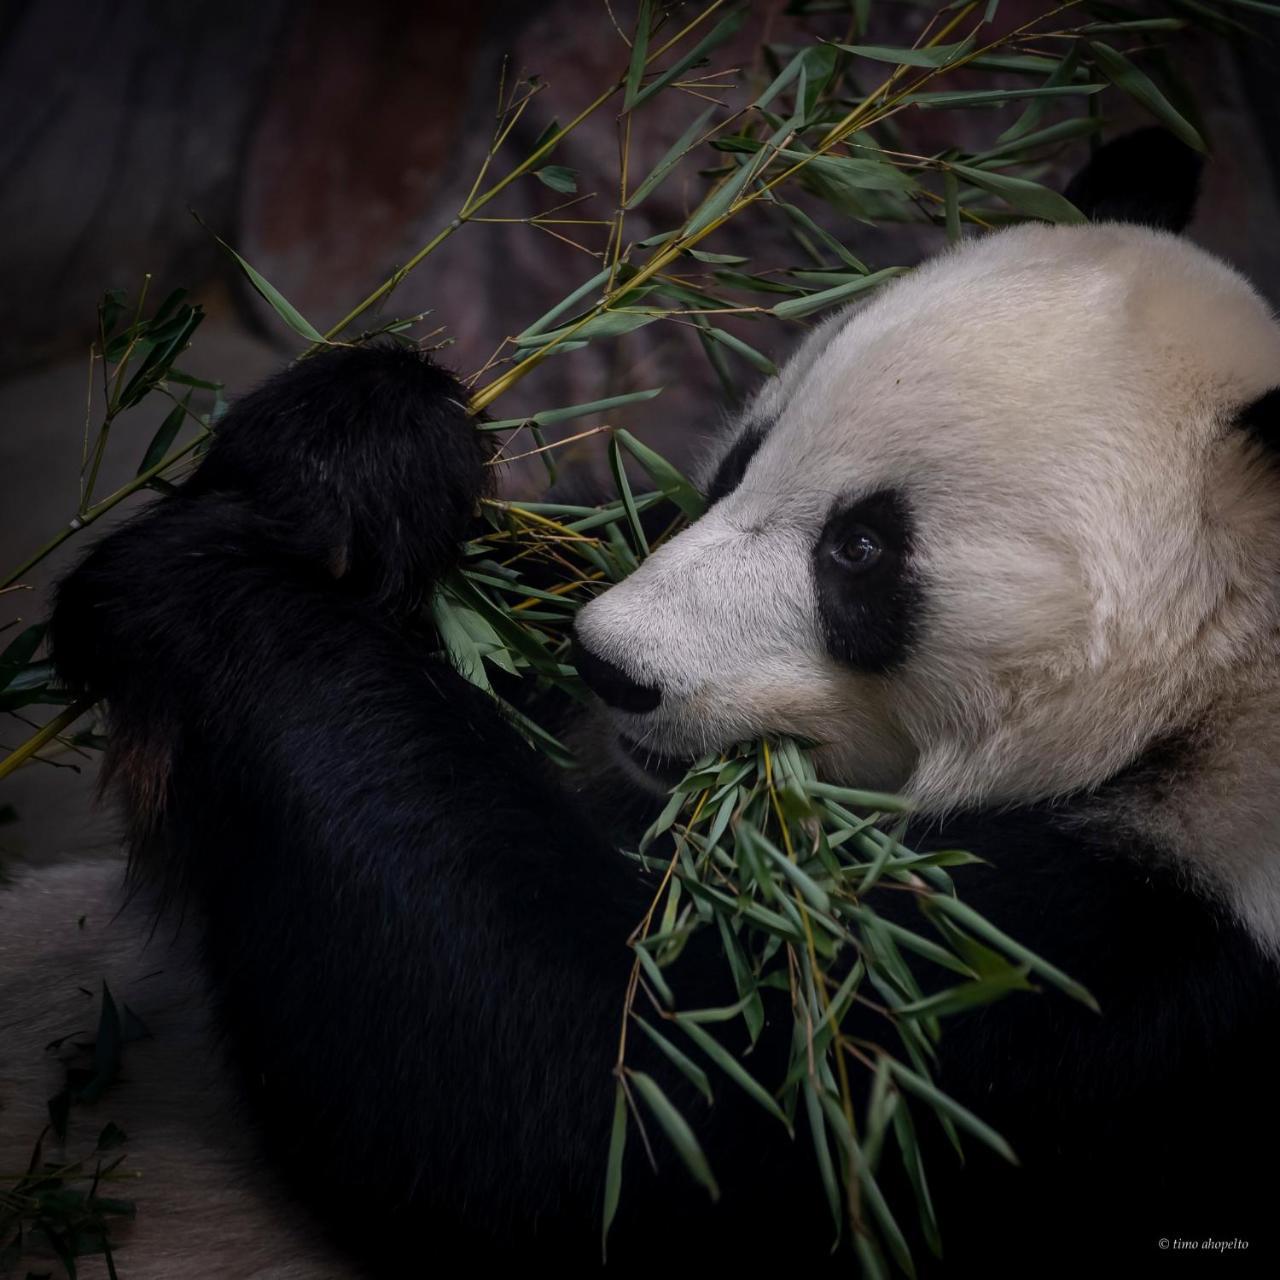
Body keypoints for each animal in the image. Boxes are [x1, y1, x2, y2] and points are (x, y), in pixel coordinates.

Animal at [2, 127, 1280, 1269]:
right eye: (741, 458)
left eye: (861, 550)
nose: (610, 665)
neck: (1206, 700)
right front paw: (359, 451)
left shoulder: (1107, 991)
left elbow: (615, 1108)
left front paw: (193, 588)